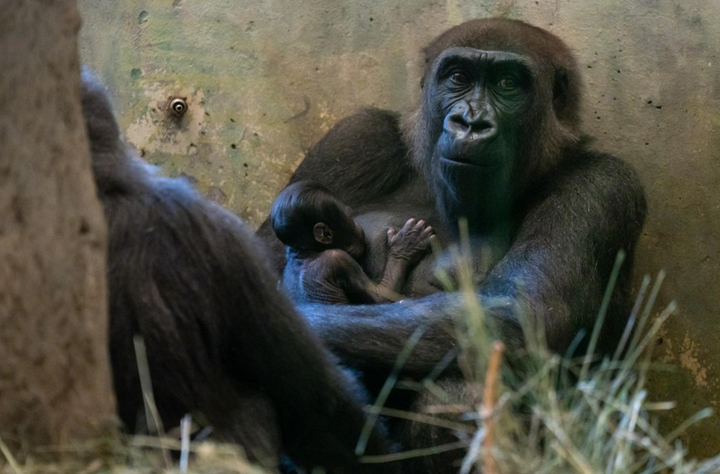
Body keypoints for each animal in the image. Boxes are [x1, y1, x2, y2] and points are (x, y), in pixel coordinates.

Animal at [272, 180, 434, 306]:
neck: (305, 251)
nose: (357, 225)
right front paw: (404, 247)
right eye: (349, 216)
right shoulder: (339, 260)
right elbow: (380, 297)